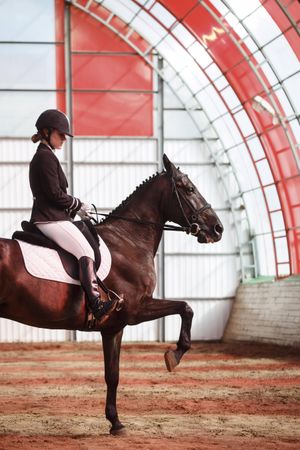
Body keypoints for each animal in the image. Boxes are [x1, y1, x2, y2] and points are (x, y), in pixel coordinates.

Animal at [0, 154, 220, 432]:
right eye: (189, 189)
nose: (217, 228)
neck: (129, 241)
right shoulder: (136, 310)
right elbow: (186, 308)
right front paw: (175, 355)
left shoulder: (114, 326)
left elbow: (112, 375)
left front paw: (115, 421)